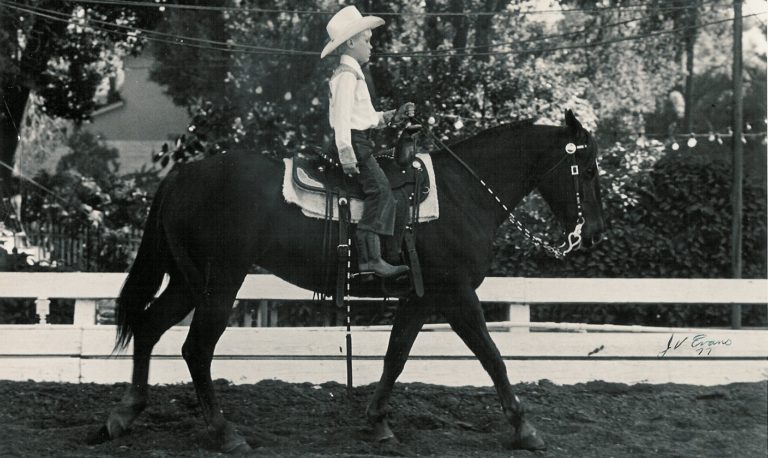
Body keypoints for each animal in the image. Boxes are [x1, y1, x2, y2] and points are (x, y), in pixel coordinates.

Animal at [88, 109, 605, 453]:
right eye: (587, 169)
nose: (595, 233)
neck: (464, 194)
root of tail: (182, 175)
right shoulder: (456, 296)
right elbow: (492, 356)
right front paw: (524, 428)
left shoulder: (420, 299)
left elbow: (396, 357)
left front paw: (377, 423)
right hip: (218, 286)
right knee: (195, 348)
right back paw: (223, 432)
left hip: (188, 282)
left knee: (149, 328)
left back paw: (123, 414)